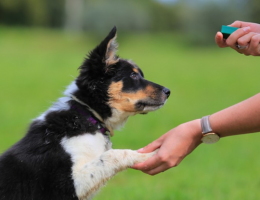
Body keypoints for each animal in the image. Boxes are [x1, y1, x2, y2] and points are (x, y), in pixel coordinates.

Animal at [0, 27, 171, 200]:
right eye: (133, 75)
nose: (168, 91)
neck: (88, 116)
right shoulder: (68, 184)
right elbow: (112, 155)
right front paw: (150, 154)